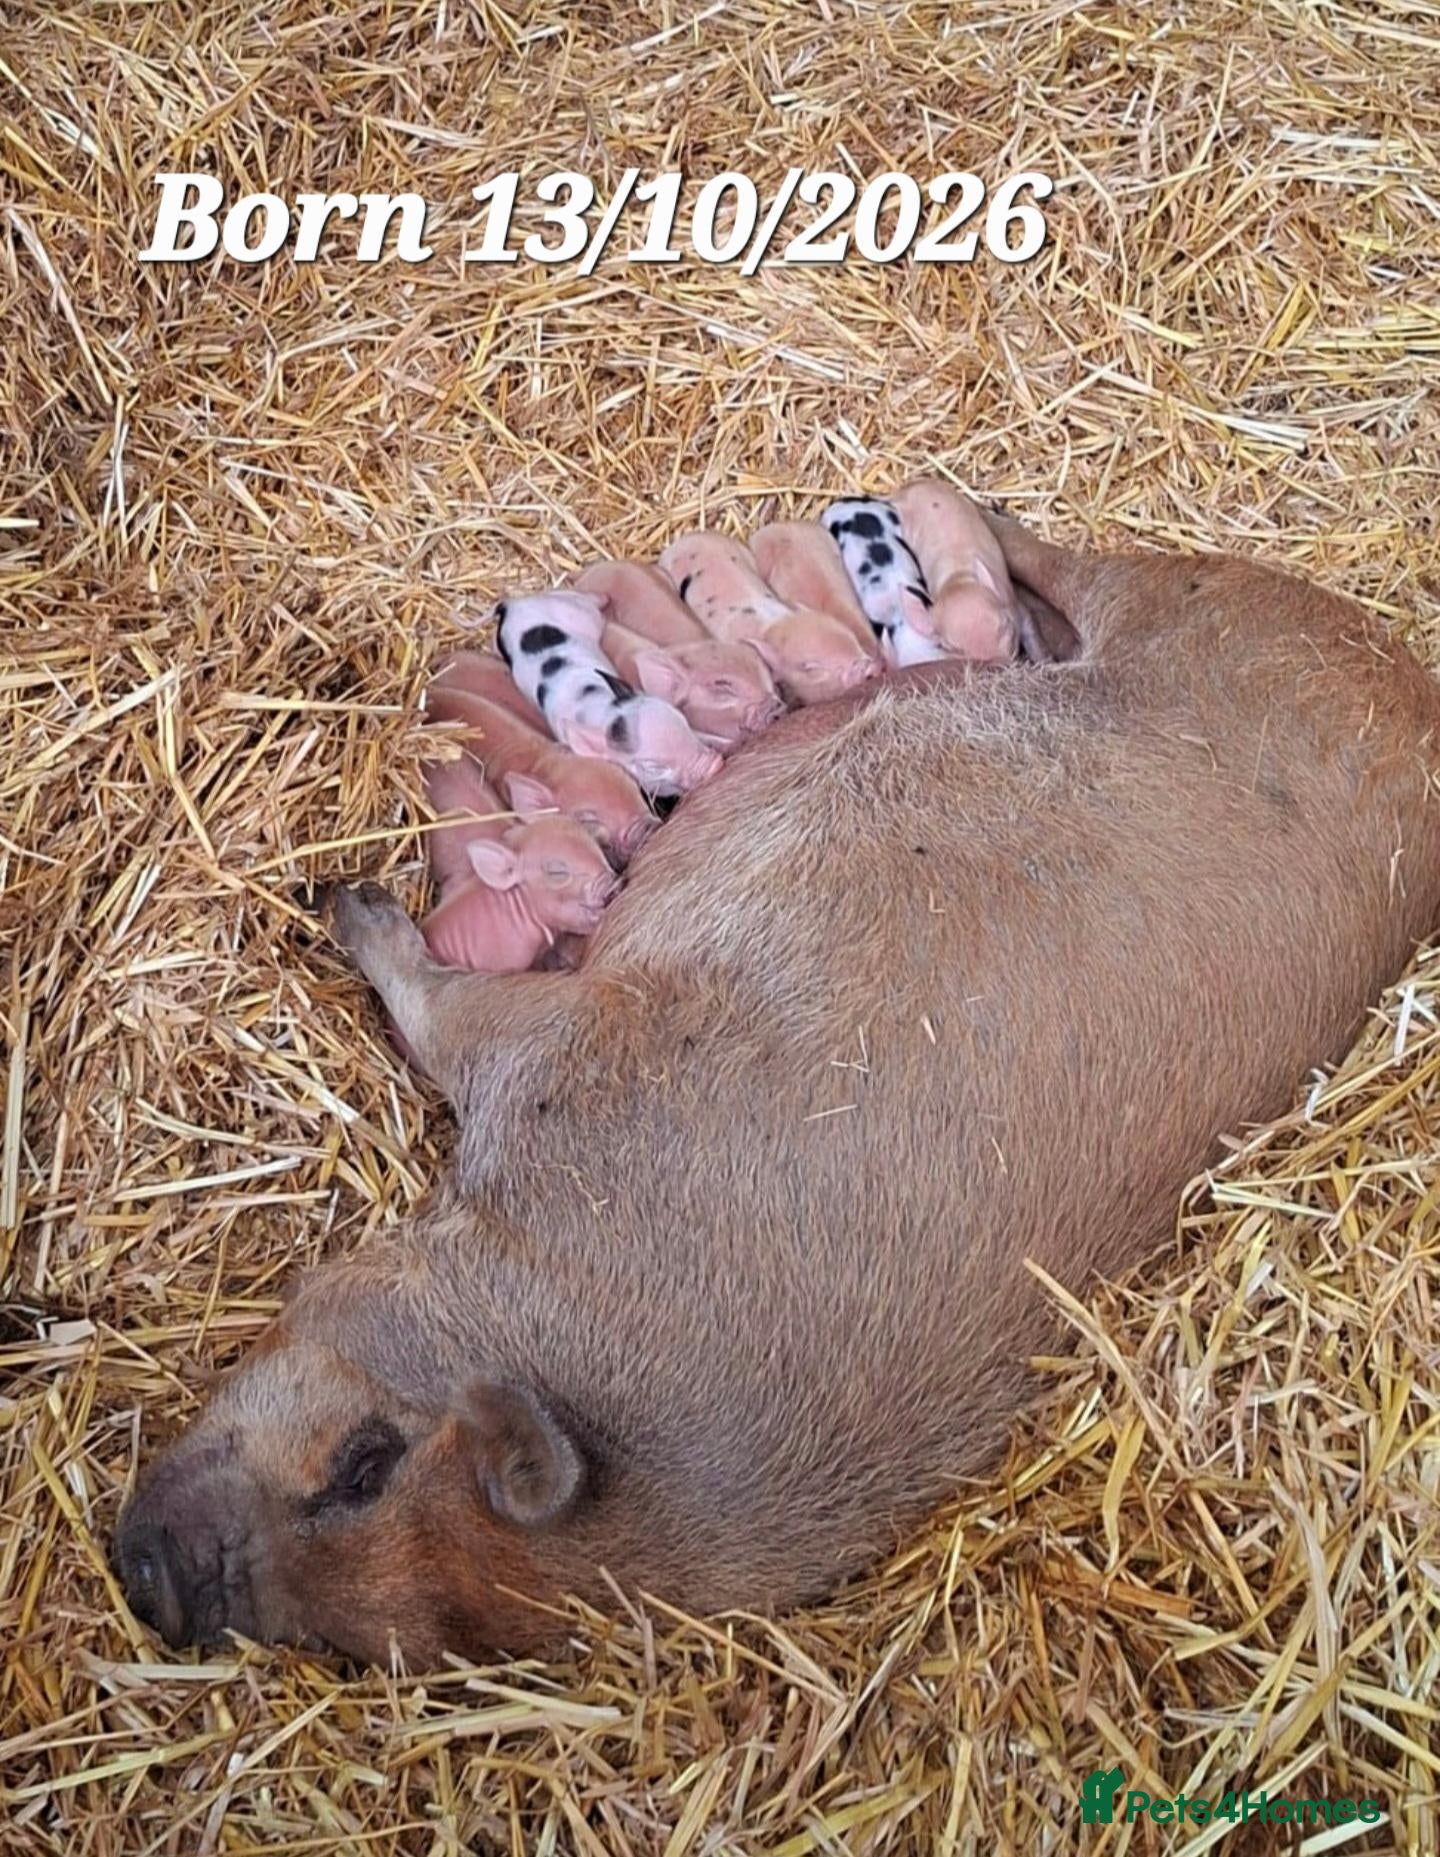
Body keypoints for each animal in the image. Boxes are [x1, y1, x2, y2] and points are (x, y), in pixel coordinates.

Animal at [495, 592, 723, 799]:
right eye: (652, 767)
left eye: (684, 722)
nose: (715, 764)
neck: (604, 710)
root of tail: (514, 605)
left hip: (573, 610)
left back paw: (604, 598)